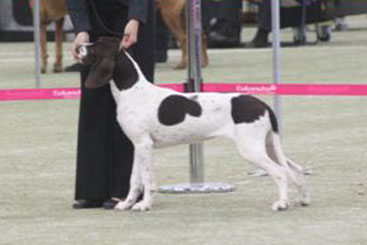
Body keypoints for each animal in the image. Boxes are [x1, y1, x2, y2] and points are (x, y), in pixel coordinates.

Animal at [78, 37, 310, 212]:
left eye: (95, 46)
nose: (78, 46)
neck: (132, 89)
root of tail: (262, 104)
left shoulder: (144, 146)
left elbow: (147, 179)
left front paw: (145, 205)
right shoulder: (137, 146)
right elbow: (135, 179)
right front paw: (127, 203)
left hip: (251, 149)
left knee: (280, 172)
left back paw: (282, 203)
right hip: (268, 145)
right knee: (295, 168)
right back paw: (303, 199)